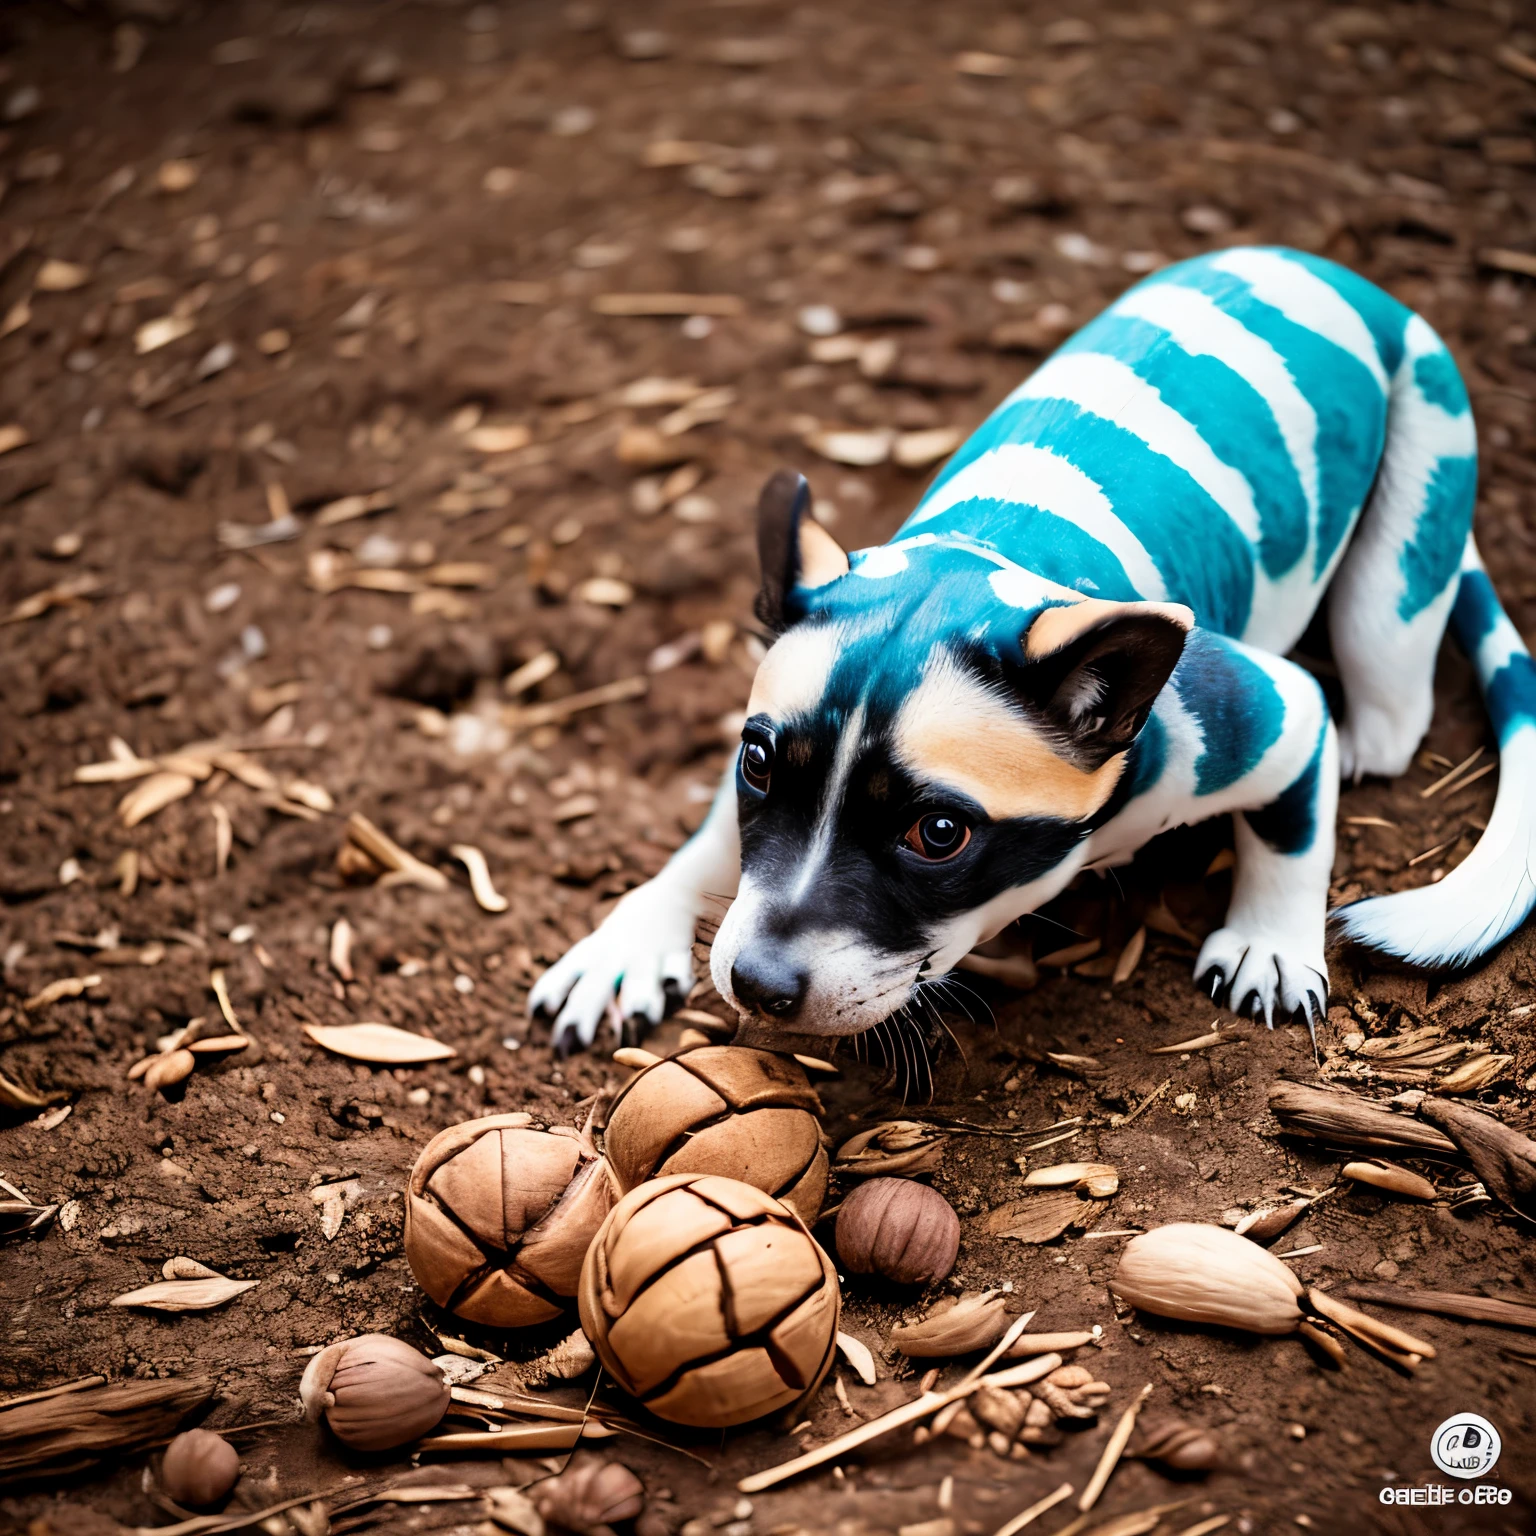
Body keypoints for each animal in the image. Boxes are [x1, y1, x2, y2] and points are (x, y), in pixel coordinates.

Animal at [531, 248, 1536, 1056]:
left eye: (938, 834)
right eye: (759, 766)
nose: (758, 985)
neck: (997, 564)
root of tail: (1351, 284)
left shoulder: (1272, 714)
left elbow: (1290, 830)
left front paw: (1273, 940)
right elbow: (716, 840)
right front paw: (627, 940)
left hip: (1403, 539)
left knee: (1388, 696)